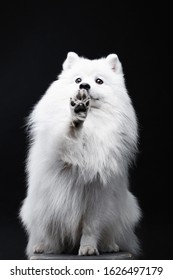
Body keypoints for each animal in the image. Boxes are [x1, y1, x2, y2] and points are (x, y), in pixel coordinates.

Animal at [19, 52, 141, 258]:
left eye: (99, 81)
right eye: (78, 80)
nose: (84, 86)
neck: (92, 123)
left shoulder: (97, 195)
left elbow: (91, 227)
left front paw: (88, 248)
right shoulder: (60, 153)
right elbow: (68, 135)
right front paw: (76, 116)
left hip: (122, 210)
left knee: (109, 232)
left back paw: (109, 245)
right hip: (40, 208)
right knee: (48, 236)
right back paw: (43, 246)